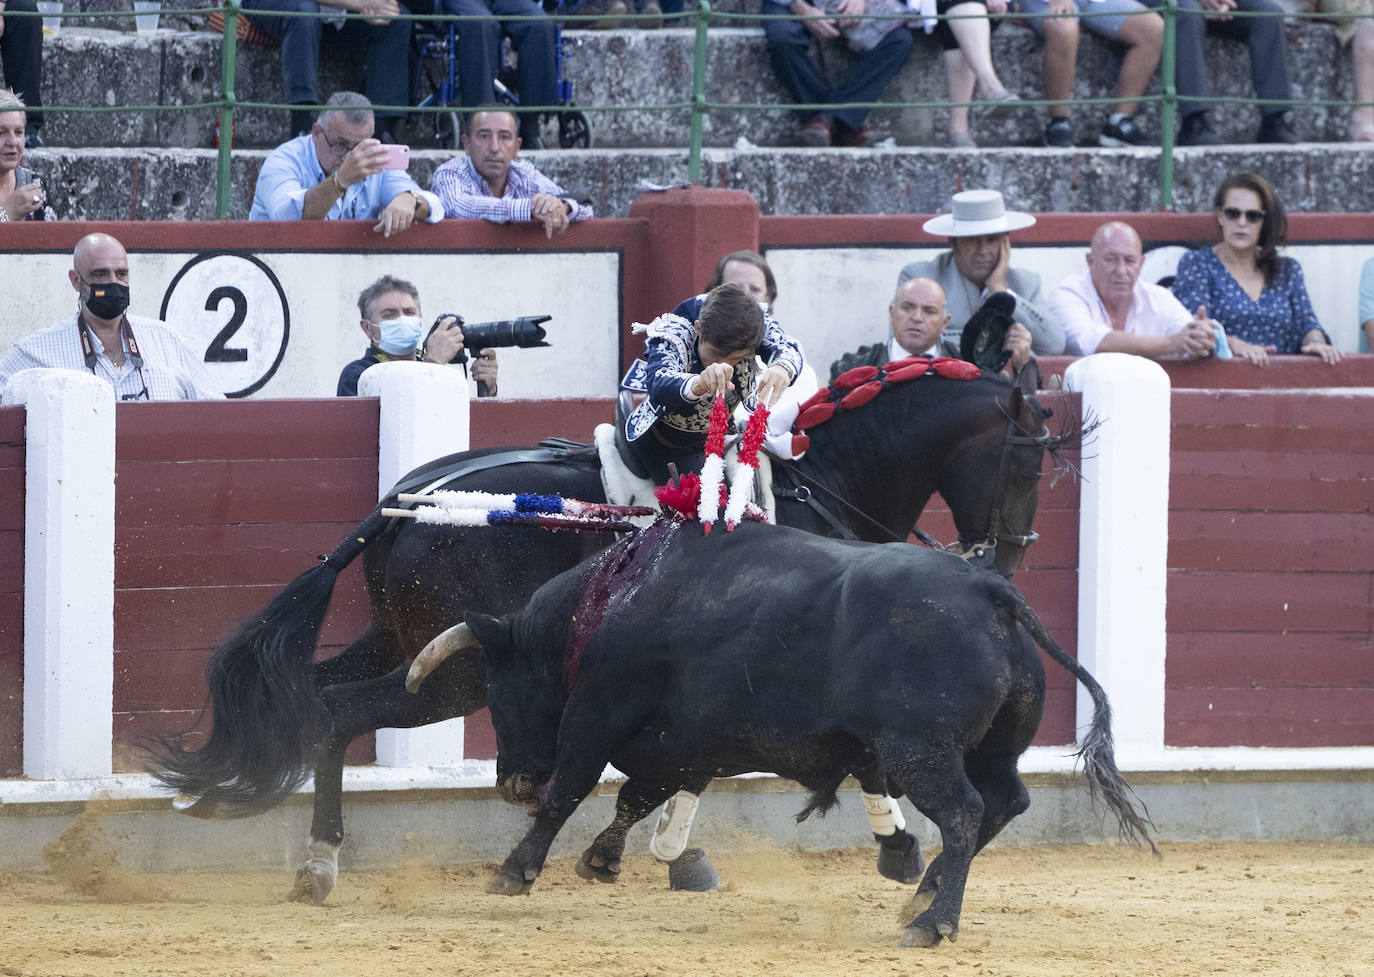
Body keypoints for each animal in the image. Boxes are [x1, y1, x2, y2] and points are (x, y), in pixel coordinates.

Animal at [414, 524, 1148, 950]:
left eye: (496, 690)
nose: (510, 781)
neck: (606, 605)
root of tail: (991, 592)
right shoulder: (678, 744)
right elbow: (634, 798)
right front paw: (601, 859)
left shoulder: (597, 715)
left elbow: (569, 791)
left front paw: (513, 873)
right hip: (992, 748)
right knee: (1005, 802)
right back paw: (922, 896)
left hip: (920, 750)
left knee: (966, 812)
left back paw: (931, 923)